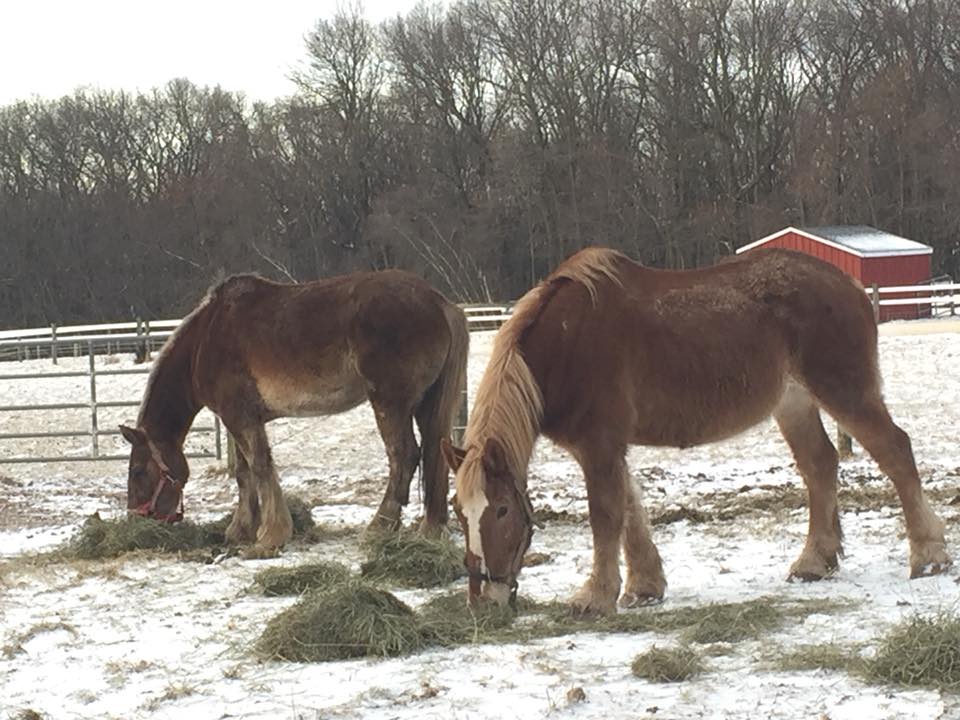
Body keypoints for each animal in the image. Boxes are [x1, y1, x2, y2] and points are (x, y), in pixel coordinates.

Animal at [120, 269, 469, 553]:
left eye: (137, 471)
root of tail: (440, 303)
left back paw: (380, 525)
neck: (205, 341)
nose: (137, 520)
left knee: (404, 456)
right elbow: (244, 473)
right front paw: (241, 529)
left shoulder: (239, 418)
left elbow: (260, 467)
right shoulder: (241, 420)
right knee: (433, 454)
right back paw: (429, 529)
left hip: (391, 404)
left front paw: (270, 536)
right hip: (424, 405)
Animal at [441, 246, 951, 615]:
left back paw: (928, 555)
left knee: (895, 451)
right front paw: (644, 586)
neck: (565, 345)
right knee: (819, 465)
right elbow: (631, 511)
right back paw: (813, 562)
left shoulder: (598, 446)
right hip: (793, 402)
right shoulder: (611, 448)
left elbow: (606, 516)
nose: (484, 601)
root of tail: (850, 285)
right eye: (459, 513)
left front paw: (596, 596)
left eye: (502, 510)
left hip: (843, 390)